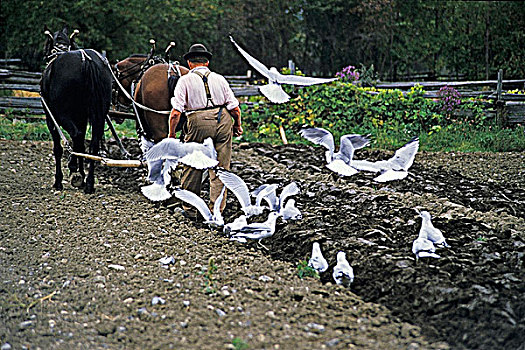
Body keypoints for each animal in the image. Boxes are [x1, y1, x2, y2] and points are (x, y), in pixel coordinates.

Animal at [41, 26, 113, 193]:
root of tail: (86, 60)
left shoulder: (51, 118)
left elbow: (58, 148)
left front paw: (60, 179)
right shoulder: (82, 117)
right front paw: (81, 174)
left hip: (62, 114)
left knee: (76, 136)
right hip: (99, 114)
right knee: (92, 145)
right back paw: (89, 183)